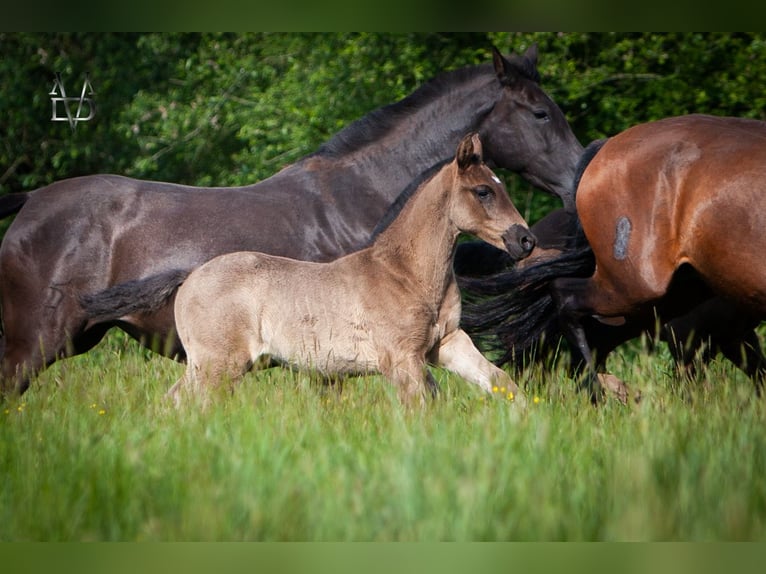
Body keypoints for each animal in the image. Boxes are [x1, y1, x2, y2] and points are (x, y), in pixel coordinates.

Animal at [78, 134, 536, 408]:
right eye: (484, 191)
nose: (525, 240)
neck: (405, 274)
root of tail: (190, 277)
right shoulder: (401, 359)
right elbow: (421, 408)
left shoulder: (446, 344)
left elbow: (499, 381)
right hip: (216, 366)